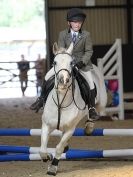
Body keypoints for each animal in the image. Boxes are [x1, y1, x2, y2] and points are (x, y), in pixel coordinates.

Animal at [39, 42, 107, 175]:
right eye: (54, 62)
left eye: (71, 63)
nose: (63, 81)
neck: (61, 103)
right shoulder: (46, 125)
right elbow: (43, 148)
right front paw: (47, 157)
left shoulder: (70, 129)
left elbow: (59, 147)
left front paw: (53, 167)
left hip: (101, 103)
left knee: (95, 113)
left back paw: (89, 126)